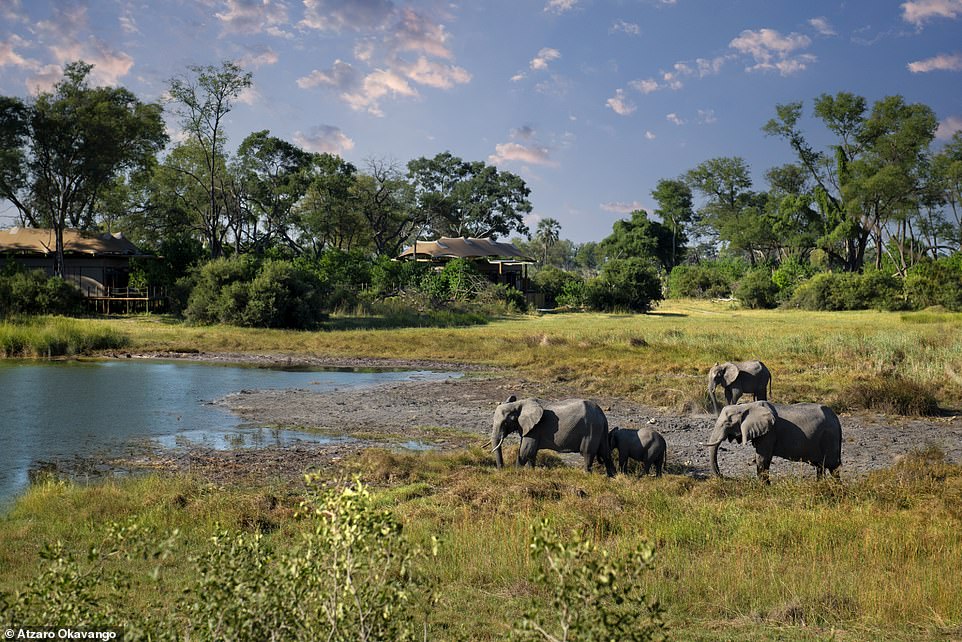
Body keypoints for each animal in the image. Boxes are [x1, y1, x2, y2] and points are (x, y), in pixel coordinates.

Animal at [488, 392, 616, 472]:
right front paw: (530, 472)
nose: (501, 469)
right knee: (606, 453)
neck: (518, 404)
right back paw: (613, 478)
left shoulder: (535, 428)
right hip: (600, 429)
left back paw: (587, 475)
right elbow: (531, 453)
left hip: (591, 429)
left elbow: (525, 451)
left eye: (506, 422)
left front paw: (516, 473)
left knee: (587, 454)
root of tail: (602, 414)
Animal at [700, 400, 836, 480]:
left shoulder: (769, 433)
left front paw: (764, 487)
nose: (723, 476)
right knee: (821, 467)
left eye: (727, 423)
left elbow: (762, 458)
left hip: (829, 436)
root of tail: (835, 417)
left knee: (833, 467)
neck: (747, 406)